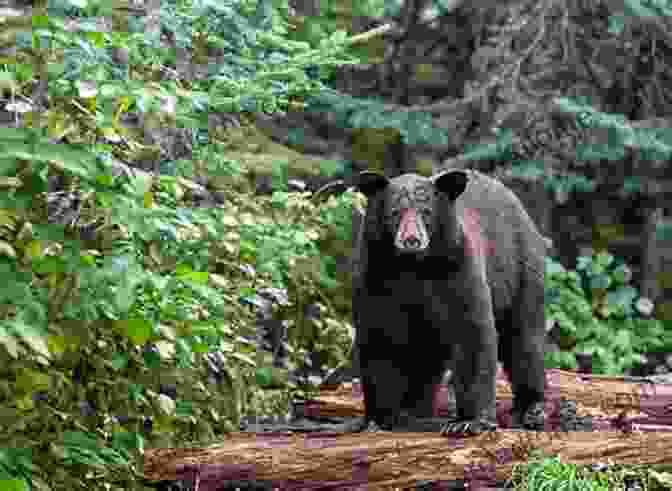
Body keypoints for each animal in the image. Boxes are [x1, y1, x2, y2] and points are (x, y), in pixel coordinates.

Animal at [352, 168, 544, 434]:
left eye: (426, 212)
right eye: (395, 213)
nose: (412, 240)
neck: (412, 266)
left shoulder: (457, 267)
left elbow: (473, 330)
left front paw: (468, 422)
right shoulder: (375, 275)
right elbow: (378, 335)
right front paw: (380, 418)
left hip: (519, 268)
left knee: (524, 338)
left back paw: (530, 410)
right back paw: (416, 413)